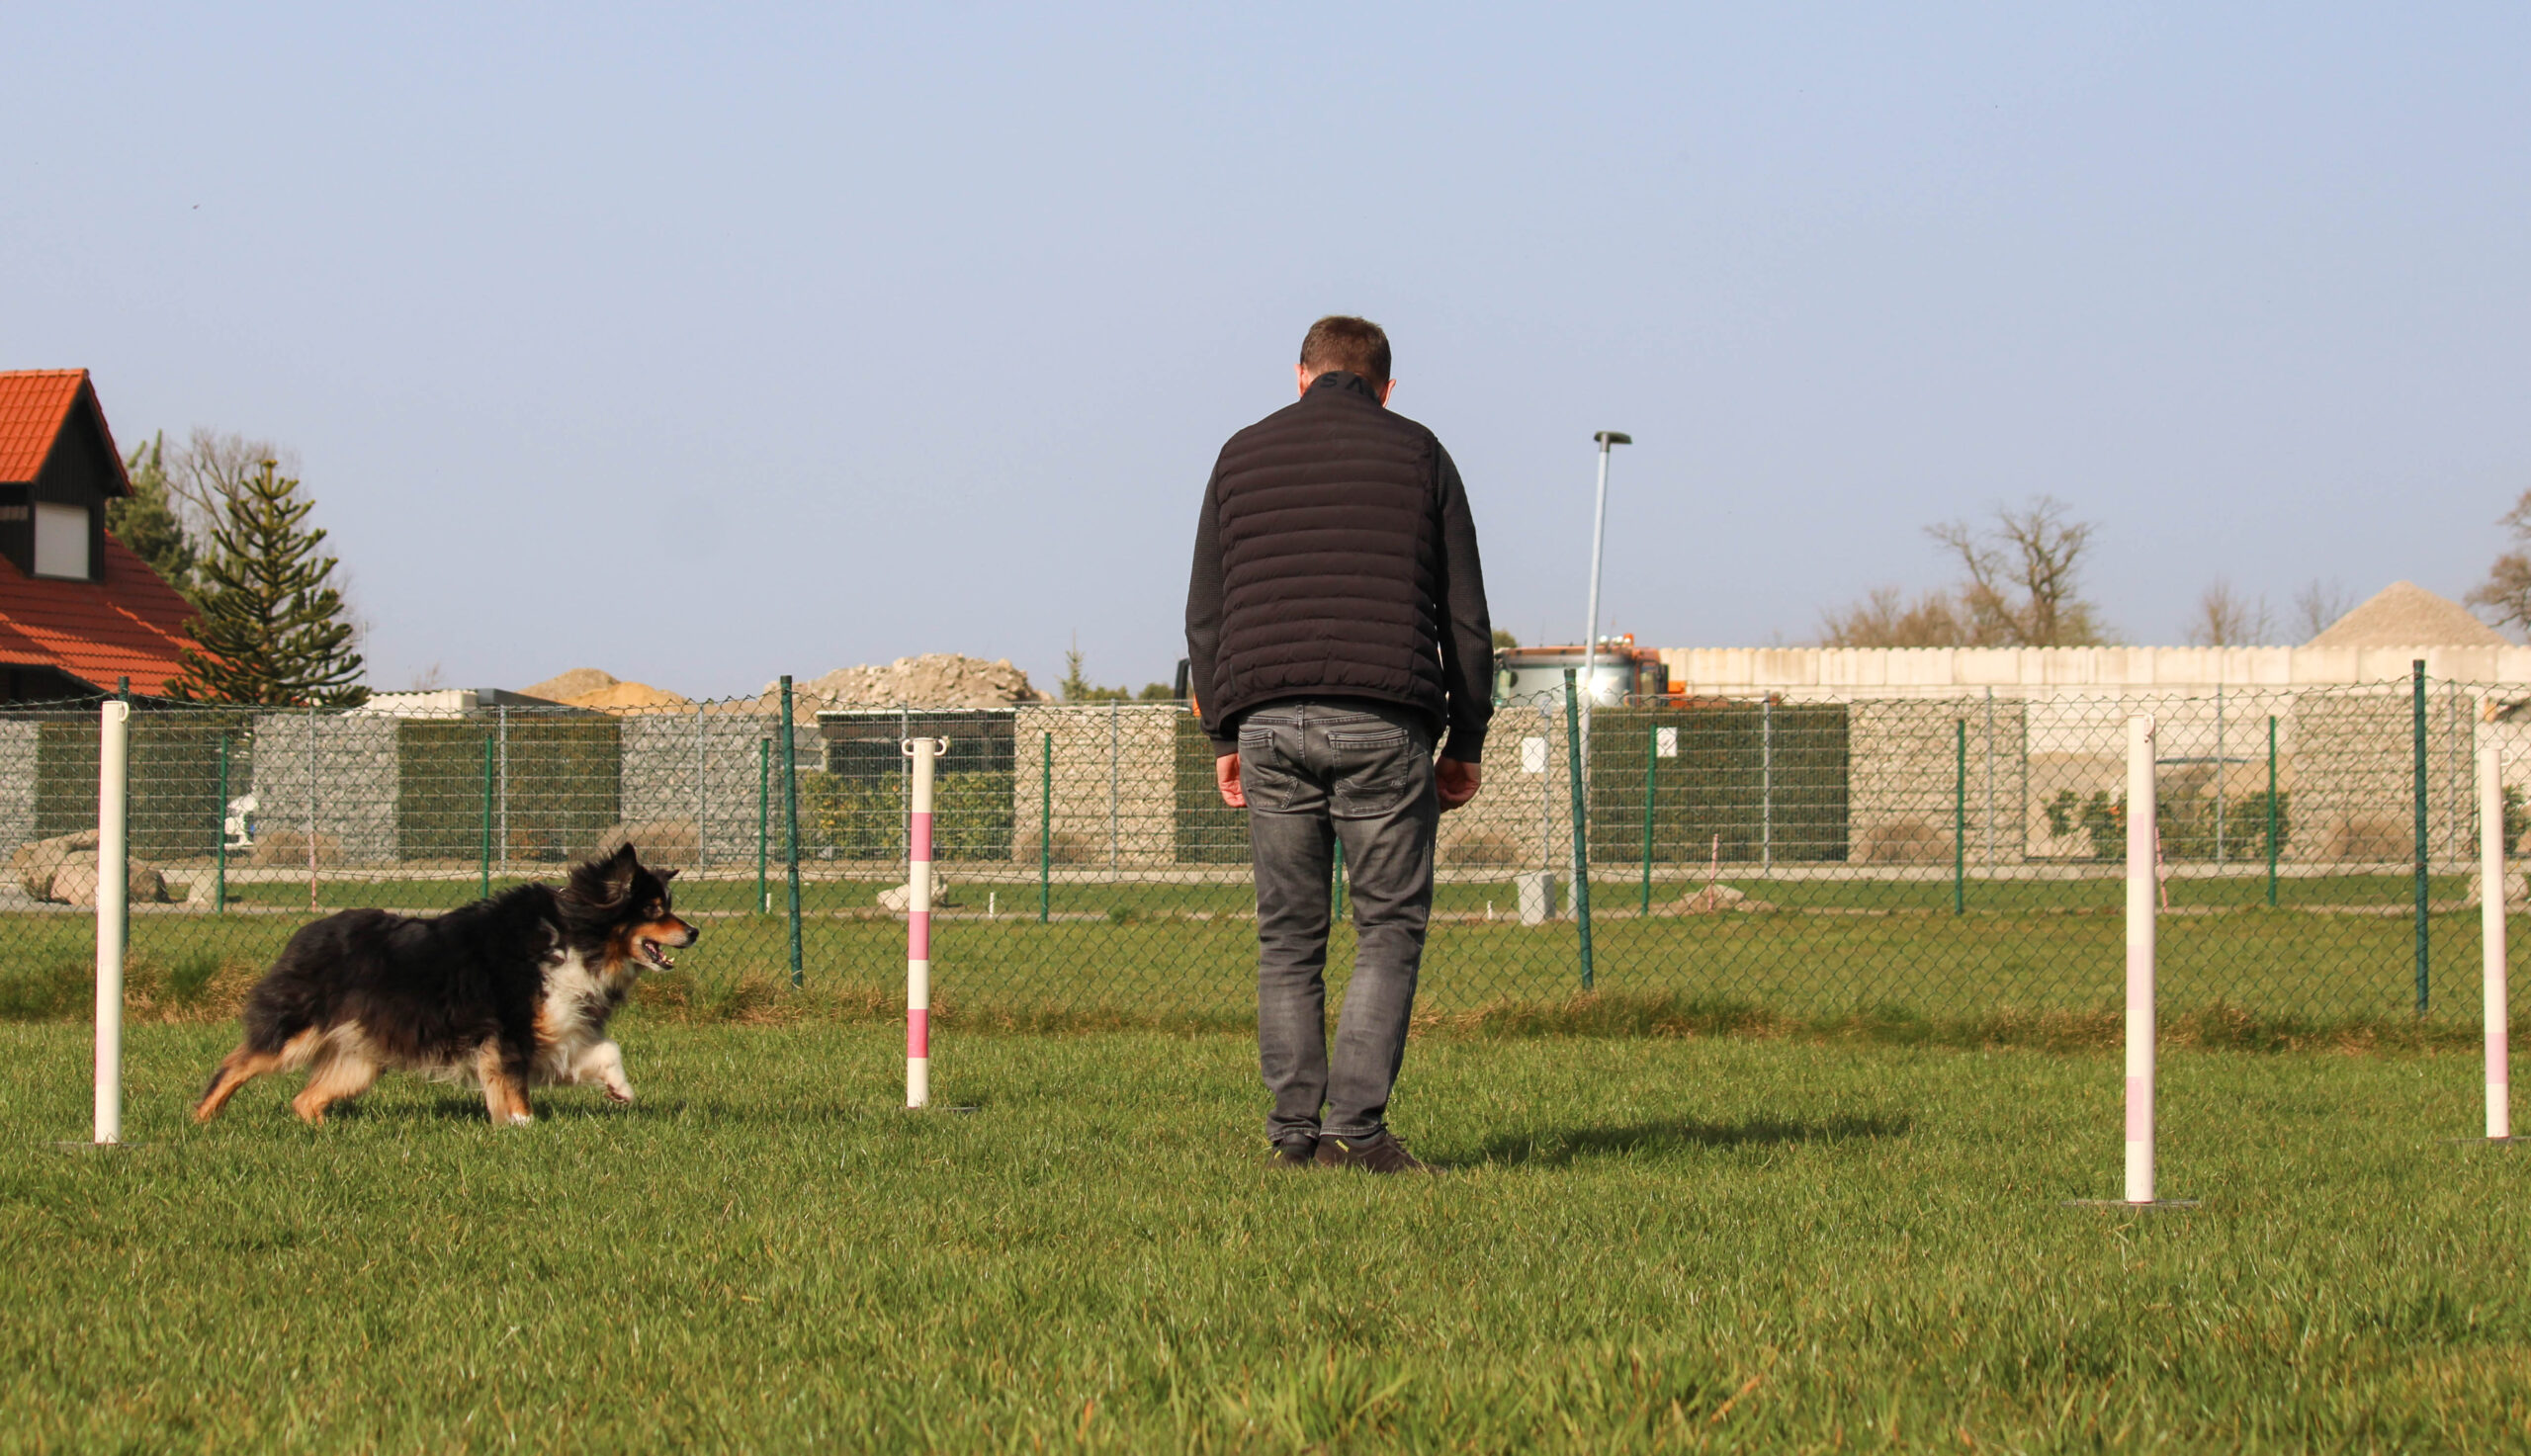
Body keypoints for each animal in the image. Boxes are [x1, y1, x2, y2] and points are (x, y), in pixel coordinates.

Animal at [194, 844, 698, 1127]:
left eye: (668, 905)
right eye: (654, 909)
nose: (693, 932)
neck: (573, 935)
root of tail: (305, 933)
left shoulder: (558, 1027)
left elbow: (607, 1051)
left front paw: (620, 1092)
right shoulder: (511, 1032)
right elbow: (514, 1088)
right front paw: (523, 1126)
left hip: (360, 1058)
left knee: (304, 1099)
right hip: (296, 1032)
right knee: (233, 1067)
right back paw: (200, 1123)